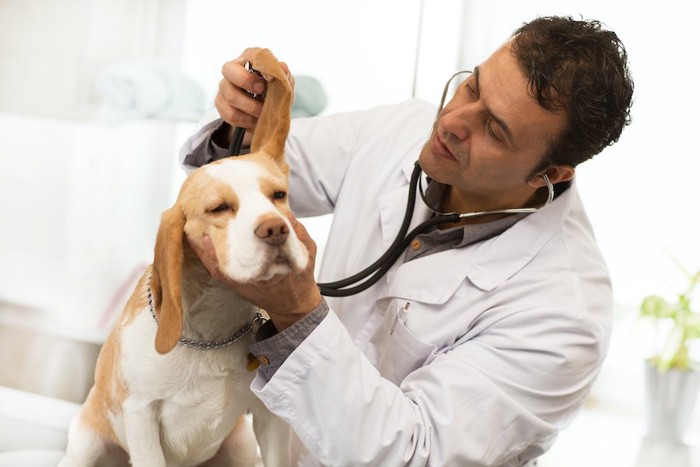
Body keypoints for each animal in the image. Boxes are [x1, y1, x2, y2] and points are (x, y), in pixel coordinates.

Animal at [61, 49, 308, 467]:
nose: (275, 230)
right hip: (85, 443)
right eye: (220, 208)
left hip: (241, 445)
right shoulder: (140, 415)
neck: (212, 330)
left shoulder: (268, 417)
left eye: (278, 195)